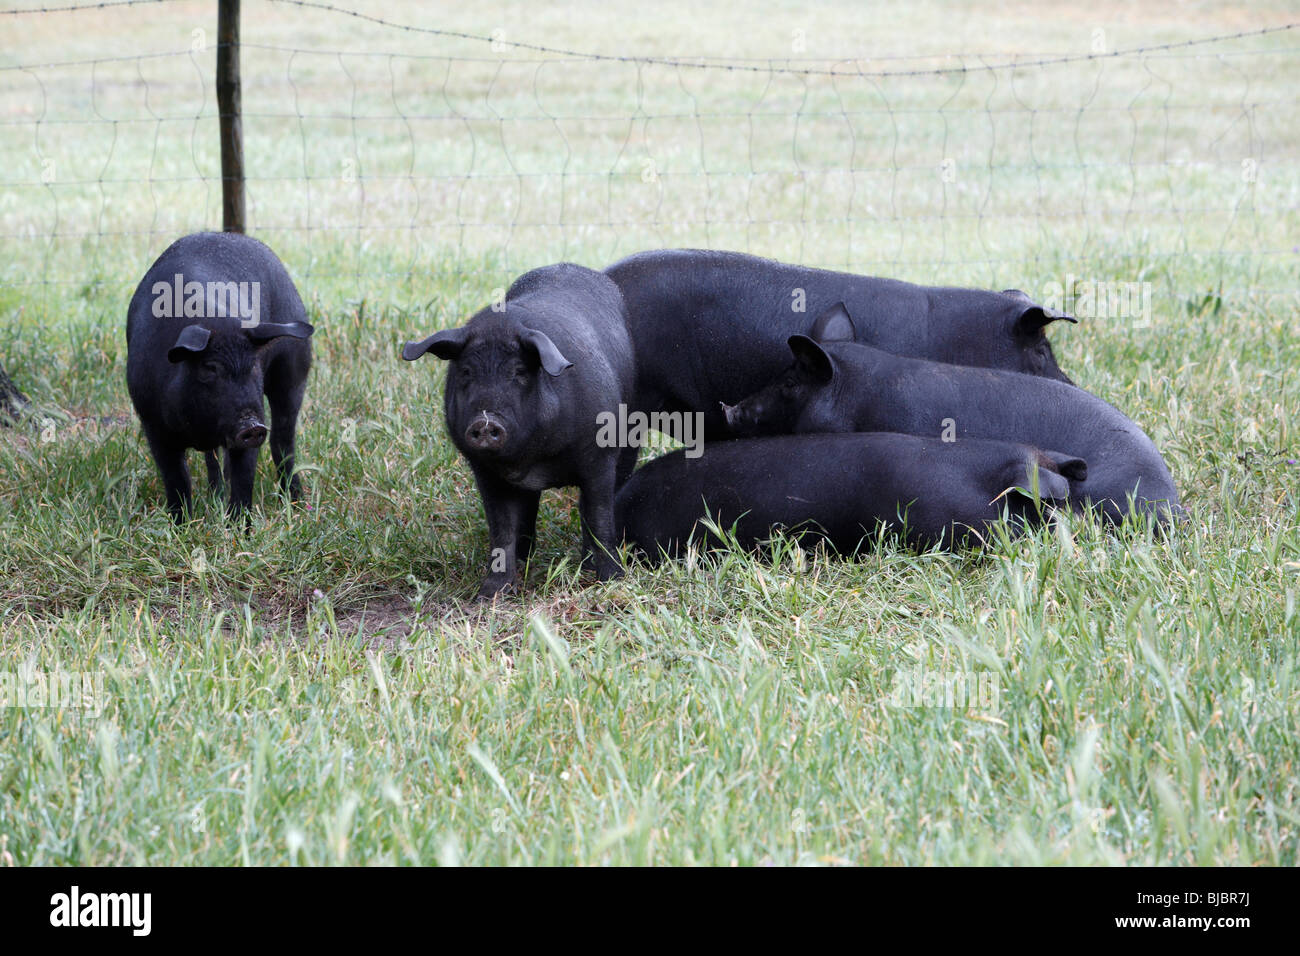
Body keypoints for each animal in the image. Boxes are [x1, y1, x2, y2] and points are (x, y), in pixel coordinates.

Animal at [126, 235, 314, 528]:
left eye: (254, 366)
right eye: (210, 368)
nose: (252, 425)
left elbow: (243, 482)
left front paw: (238, 531)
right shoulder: (153, 424)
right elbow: (176, 480)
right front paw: (180, 527)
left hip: (293, 372)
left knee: (283, 443)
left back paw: (296, 505)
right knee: (215, 459)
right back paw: (215, 497)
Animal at [400, 264, 634, 598]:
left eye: (519, 372)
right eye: (466, 372)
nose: (485, 421)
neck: (532, 461)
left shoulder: (599, 456)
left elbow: (599, 515)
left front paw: (610, 580)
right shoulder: (484, 472)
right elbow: (502, 528)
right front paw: (490, 593)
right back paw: (526, 557)